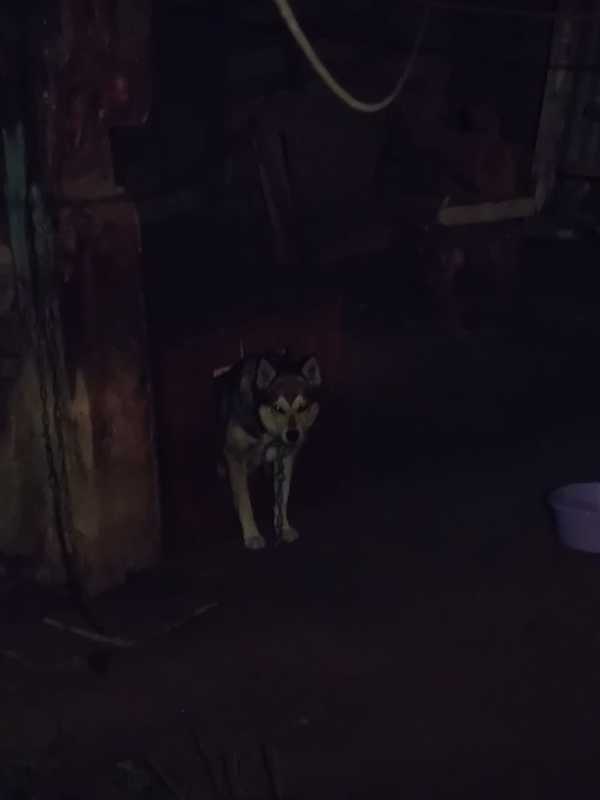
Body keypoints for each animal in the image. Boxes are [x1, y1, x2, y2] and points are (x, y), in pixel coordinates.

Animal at [215, 351, 322, 549]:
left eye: (302, 407)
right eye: (278, 408)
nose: (293, 435)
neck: (268, 432)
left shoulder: (285, 459)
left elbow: (283, 497)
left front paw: (284, 528)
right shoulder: (235, 456)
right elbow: (245, 501)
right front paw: (251, 535)